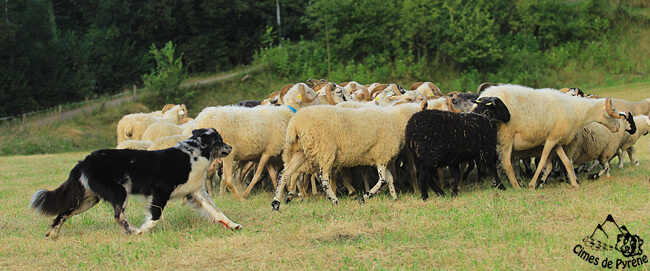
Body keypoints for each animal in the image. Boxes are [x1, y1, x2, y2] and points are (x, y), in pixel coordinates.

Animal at [28, 129, 240, 239]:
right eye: (220, 141)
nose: (231, 147)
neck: (193, 154)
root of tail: (85, 161)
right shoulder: (160, 192)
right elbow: (155, 216)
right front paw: (144, 230)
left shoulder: (196, 194)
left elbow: (217, 211)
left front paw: (233, 225)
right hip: (119, 192)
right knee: (118, 216)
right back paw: (132, 231)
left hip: (88, 200)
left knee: (63, 213)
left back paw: (52, 233)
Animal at [478, 84, 624, 189]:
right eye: (613, 110)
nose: (618, 126)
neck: (575, 110)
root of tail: (483, 95)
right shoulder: (550, 139)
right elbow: (543, 161)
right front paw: (533, 184)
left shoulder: (557, 140)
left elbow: (566, 162)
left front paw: (575, 184)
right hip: (506, 137)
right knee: (506, 163)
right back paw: (516, 186)